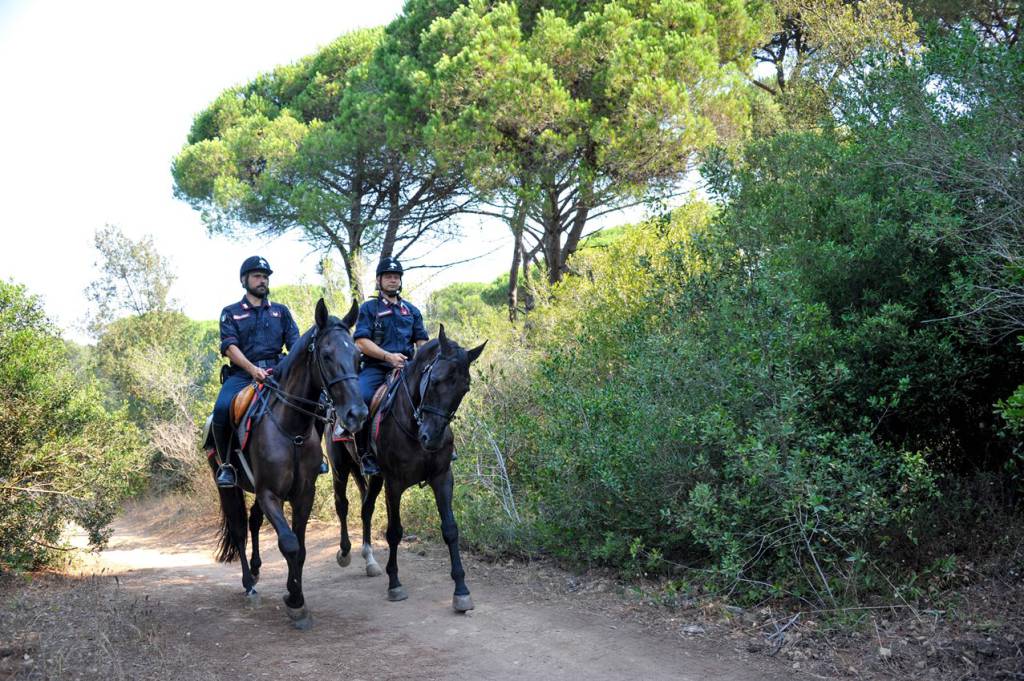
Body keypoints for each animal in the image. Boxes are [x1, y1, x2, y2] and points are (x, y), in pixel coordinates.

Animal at [209, 296, 366, 626]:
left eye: (359, 357)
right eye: (327, 355)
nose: (357, 414)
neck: (290, 428)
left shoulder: (302, 493)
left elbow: (301, 548)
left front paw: (296, 596)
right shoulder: (270, 494)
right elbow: (289, 544)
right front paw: (294, 601)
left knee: (253, 521)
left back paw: (257, 569)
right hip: (227, 487)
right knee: (239, 528)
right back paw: (249, 585)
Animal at [329, 323, 485, 610]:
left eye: (464, 389)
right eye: (435, 380)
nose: (431, 438)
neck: (413, 424)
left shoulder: (442, 477)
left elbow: (450, 529)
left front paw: (461, 590)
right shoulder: (395, 483)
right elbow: (394, 532)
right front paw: (395, 584)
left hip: (374, 478)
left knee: (366, 508)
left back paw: (370, 560)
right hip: (340, 468)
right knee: (342, 505)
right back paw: (345, 552)